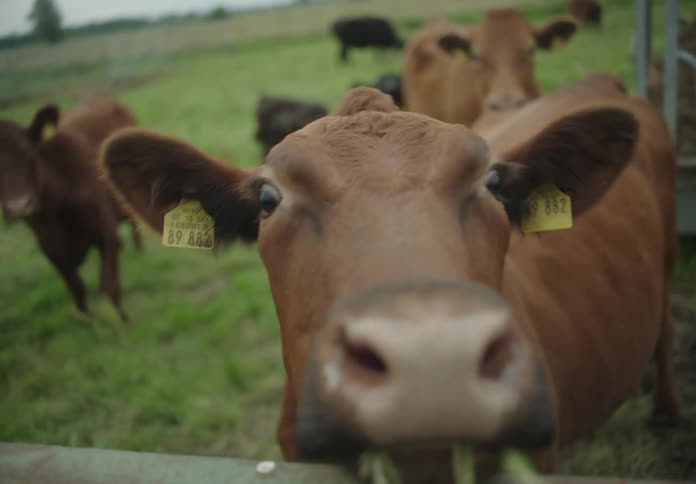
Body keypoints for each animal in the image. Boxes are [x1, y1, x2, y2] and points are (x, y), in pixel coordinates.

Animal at [0, 94, 139, 323]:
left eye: (29, 154)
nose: (18, 206)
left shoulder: (105, 230)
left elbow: (110, 284)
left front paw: (124, 323)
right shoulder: (50, 248)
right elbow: (77, 291)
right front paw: (89, 324)